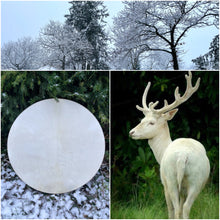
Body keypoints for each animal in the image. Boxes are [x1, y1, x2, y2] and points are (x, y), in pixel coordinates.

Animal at [130, 72, 211, 218]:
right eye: (142, 119)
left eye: (151, 122)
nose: (131, 132)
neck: (162, 152)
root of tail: (183, 157)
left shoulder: (164, 183)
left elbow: (170, 208)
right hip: (196, 180)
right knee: (185, 207)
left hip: (170, 178)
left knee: (177, 208)